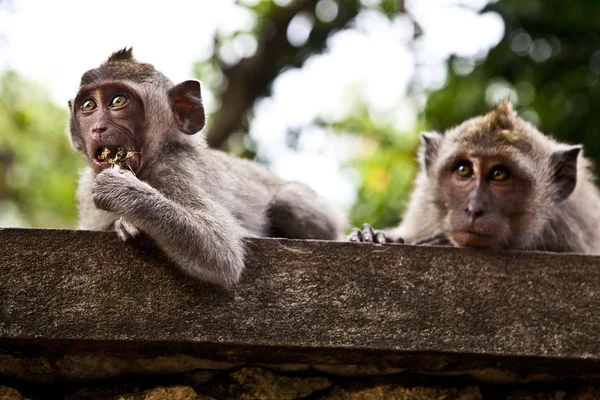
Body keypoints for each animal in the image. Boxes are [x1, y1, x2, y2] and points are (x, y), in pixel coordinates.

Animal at [68, 48, 346, 286]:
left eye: (118, 101)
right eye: (89, 105)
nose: (98, 128)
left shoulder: (176, 170)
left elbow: (222, 253)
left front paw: (123, 195)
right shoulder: (85, 189)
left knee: (288, 201)